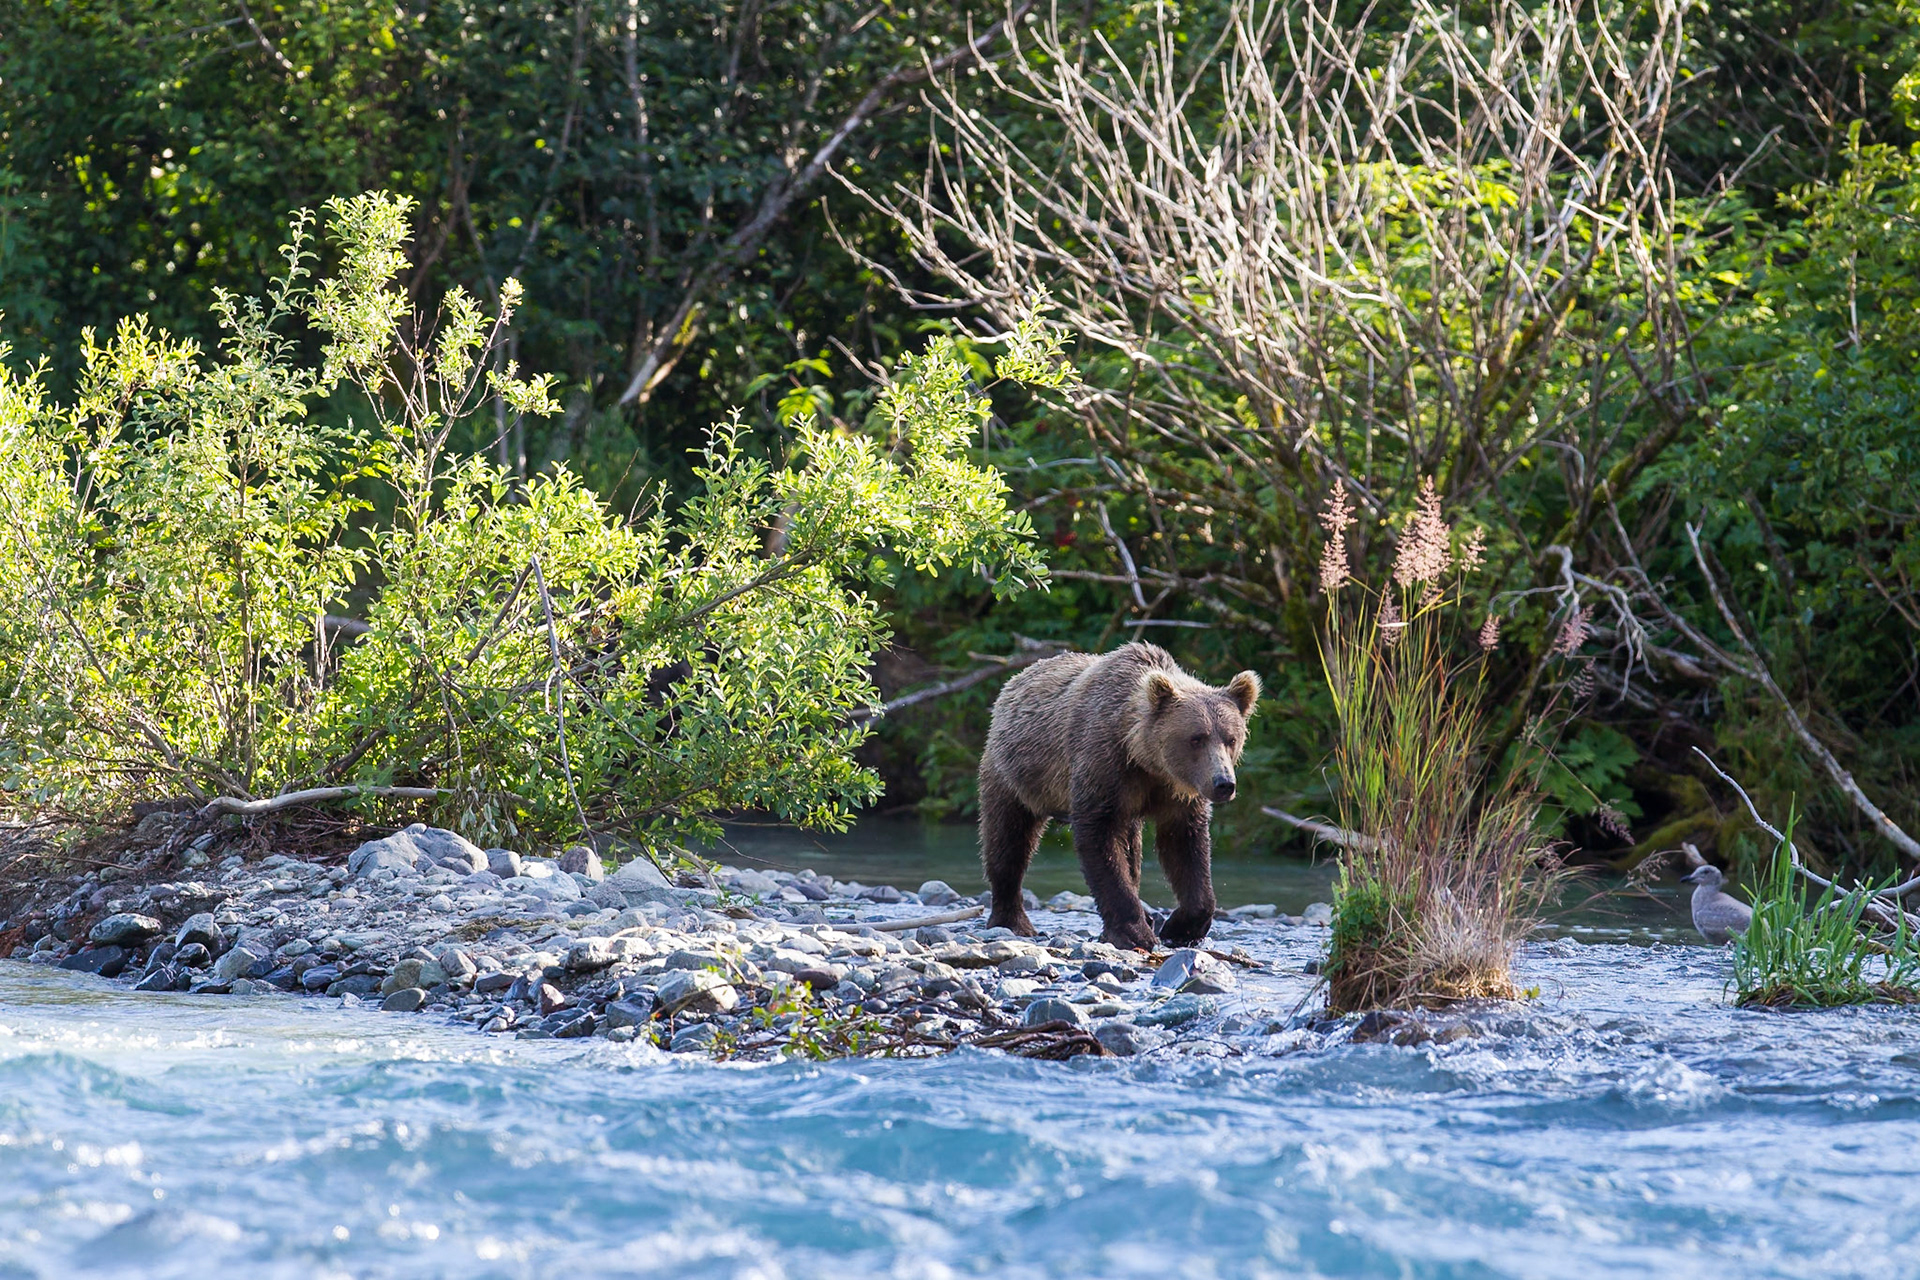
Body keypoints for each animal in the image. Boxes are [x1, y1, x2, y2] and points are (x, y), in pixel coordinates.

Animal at [977, 641, 1260, 950]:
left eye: (1231, 738)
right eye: (1196, 738)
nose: (1224, 783)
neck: (1144, 757)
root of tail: (1013, 682)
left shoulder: (1177, 794)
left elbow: (1186, 847)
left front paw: (1180, 928)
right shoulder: (1104, 767)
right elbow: (1100, 841)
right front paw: (1134, 931)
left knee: (1132, 850)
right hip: (1013, 775)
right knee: (1008, 840)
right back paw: (1013, 920)